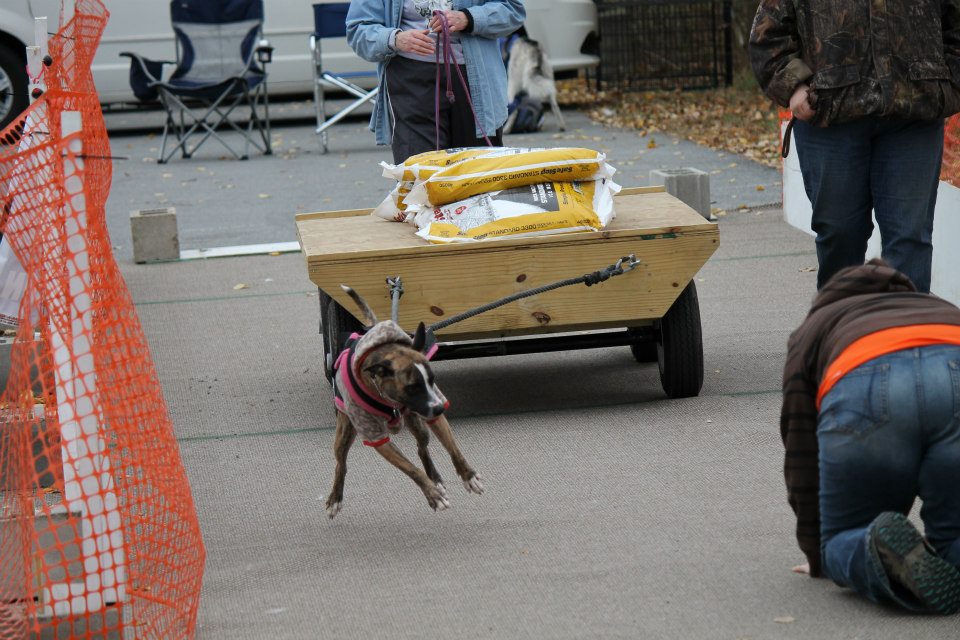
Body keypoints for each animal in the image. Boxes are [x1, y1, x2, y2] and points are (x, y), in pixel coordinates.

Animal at [326, 286, 484, 520]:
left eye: (431, 380)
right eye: (412, 387)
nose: (438, 407)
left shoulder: (435, 414)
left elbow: (453, 448)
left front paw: (468, 475)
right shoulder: (378, 439)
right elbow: (412, 469)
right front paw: (433, 495)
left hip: (418, 424)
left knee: (422, 447)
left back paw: (435, 479)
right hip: (344, 432)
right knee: (341, 464)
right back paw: (335, 499)